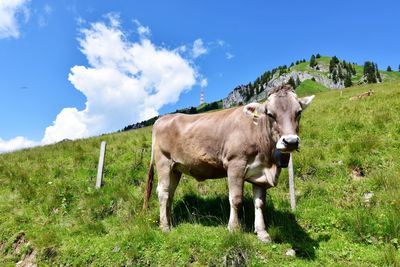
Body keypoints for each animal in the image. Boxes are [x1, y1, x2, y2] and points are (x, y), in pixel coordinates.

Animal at [142, 85, 314, 243]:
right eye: (270, 114)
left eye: (299, 112)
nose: (290, 141)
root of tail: (162, 119)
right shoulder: (235, 164)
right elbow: (236, 199)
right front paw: (234, 228)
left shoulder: (260, 174)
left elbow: (259, 203)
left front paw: (262, 233)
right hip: (164, 161)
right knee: (163, 192)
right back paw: (165, 227)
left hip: (176, 168)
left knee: (170, 193)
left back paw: (169, 221)